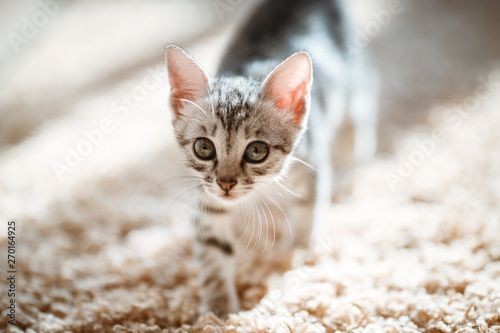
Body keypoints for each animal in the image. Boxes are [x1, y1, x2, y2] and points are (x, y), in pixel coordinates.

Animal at [166, 0, 376, 318]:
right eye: (204, 147)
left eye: (256, 151)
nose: (226, 183)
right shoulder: (207, 195)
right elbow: (213, 251)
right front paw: (218, 309)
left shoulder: (311, 164)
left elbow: (306, 212)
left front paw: (297, 254)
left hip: (351, 83)